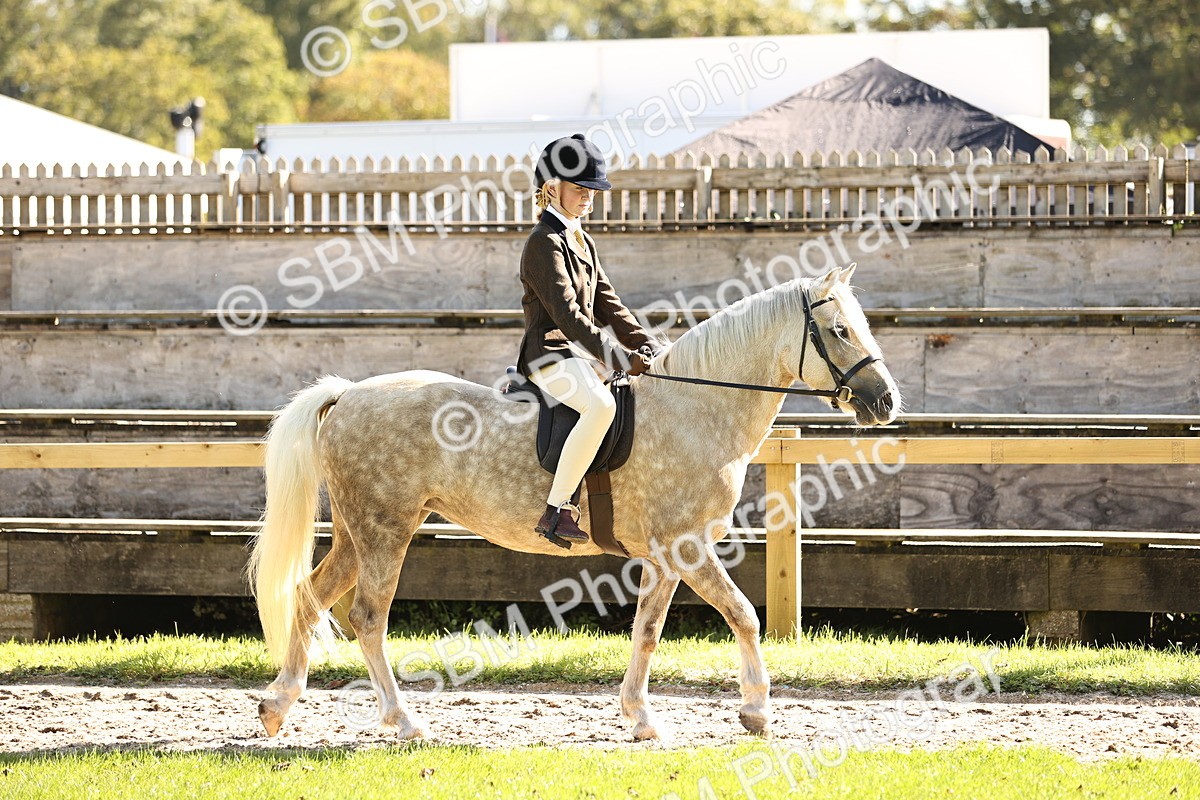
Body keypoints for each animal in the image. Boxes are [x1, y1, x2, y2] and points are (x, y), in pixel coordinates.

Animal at [249, 263, 900, 741]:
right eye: (840, 331)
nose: (886, 402)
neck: (697, 409)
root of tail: (347, 394)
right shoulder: (687, 547)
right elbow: (743, 613)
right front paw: (757, 713)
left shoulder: (666, 558)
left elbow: (647, 630)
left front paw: (640, 717)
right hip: (386, 532)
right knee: (366, 618)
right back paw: (405, 721)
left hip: (358, 534)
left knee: (308, 597)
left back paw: (277, 706)